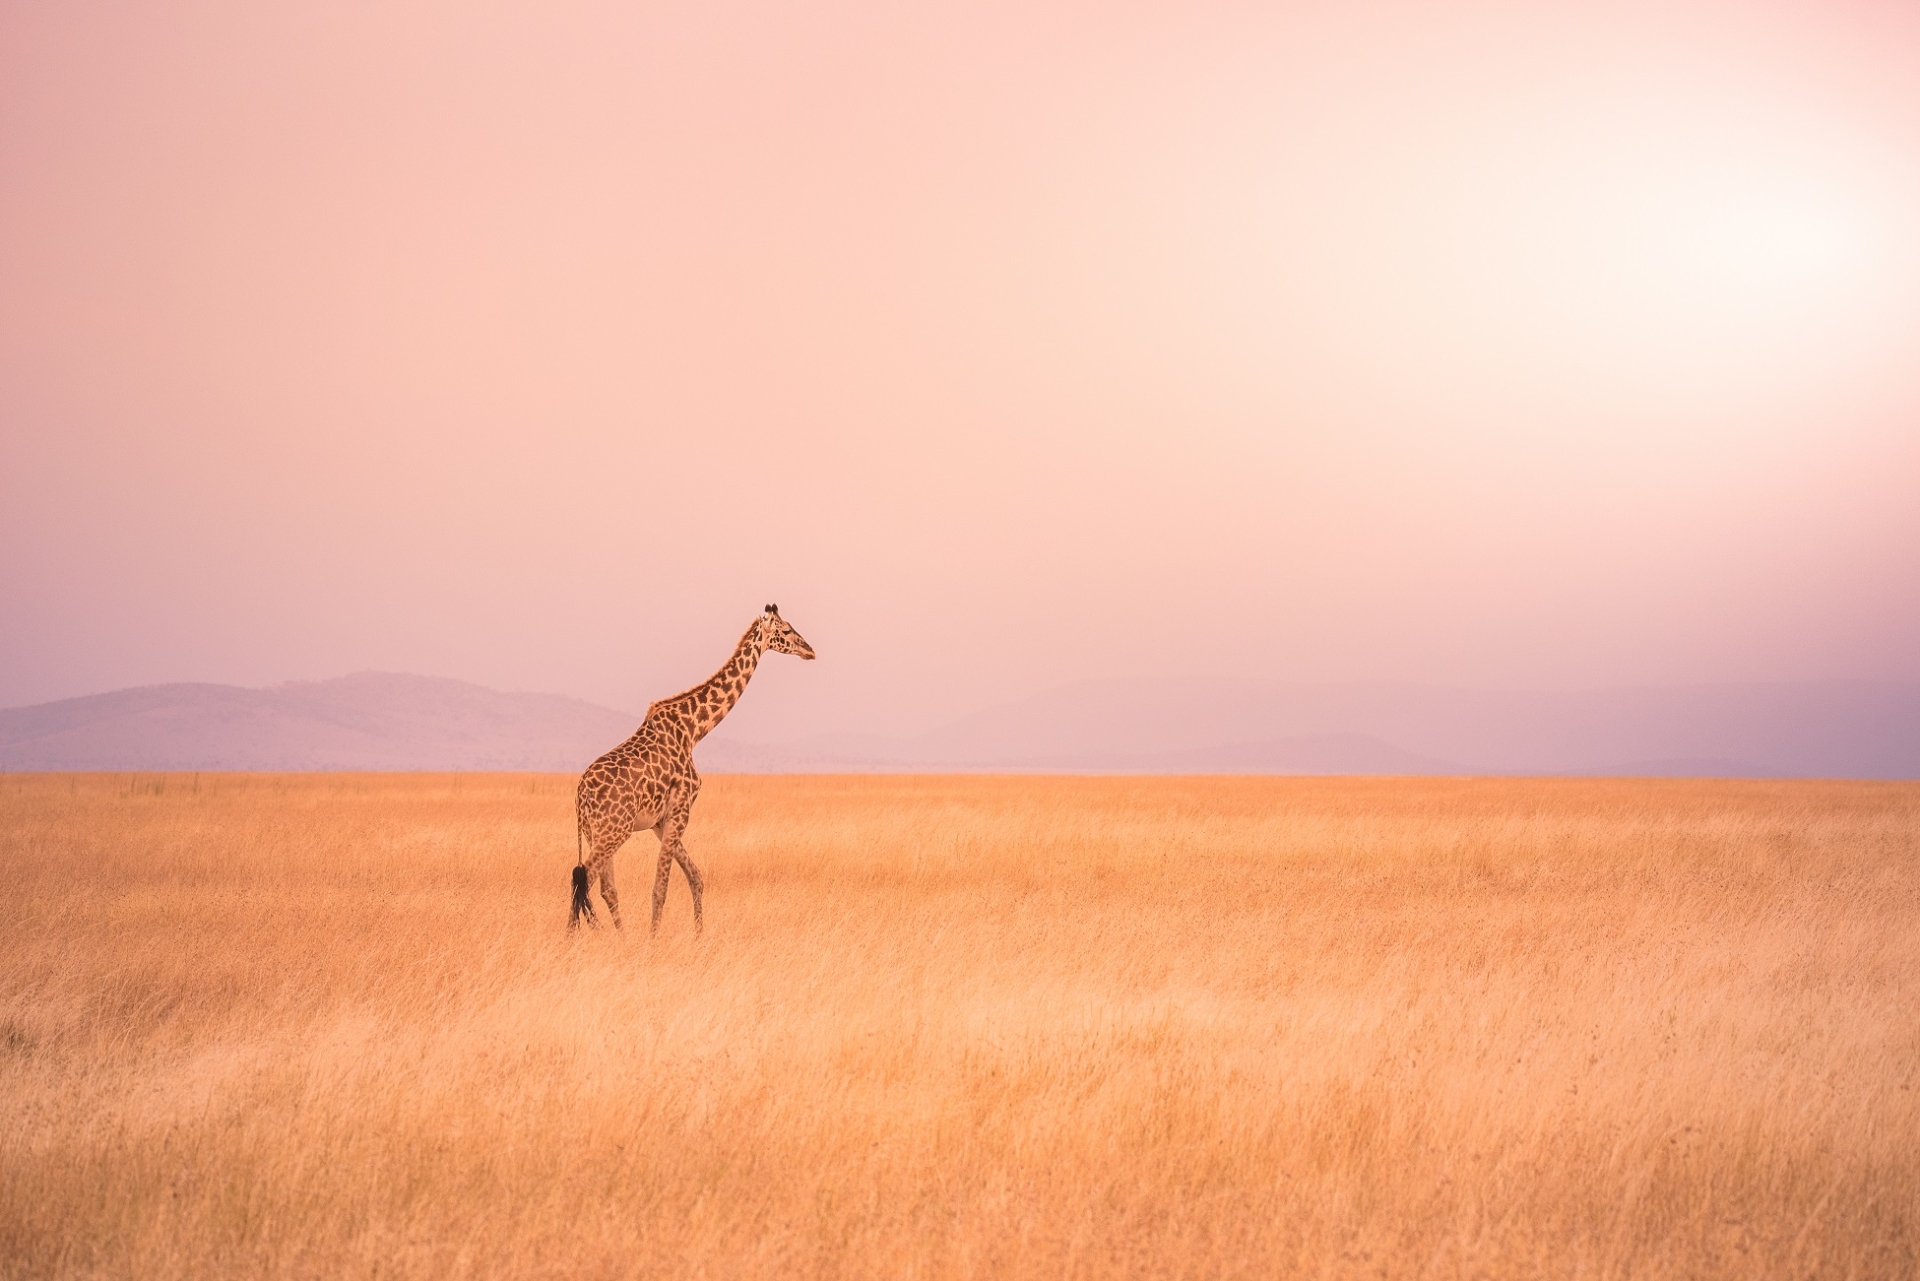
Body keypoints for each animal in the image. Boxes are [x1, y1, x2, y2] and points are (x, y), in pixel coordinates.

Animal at [568, 606, 810, 937]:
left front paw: (697, 935)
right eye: (785, 631)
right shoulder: (680, 811)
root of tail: (581, 793)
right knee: (583, 879)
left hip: (596, 832)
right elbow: (661, 887)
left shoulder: (661, 821)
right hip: (614, 830)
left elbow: (695, 877)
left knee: (603, 886)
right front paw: (654, 940)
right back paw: (581, 940)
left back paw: (616, 937)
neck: (694, 729)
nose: (809, 650)